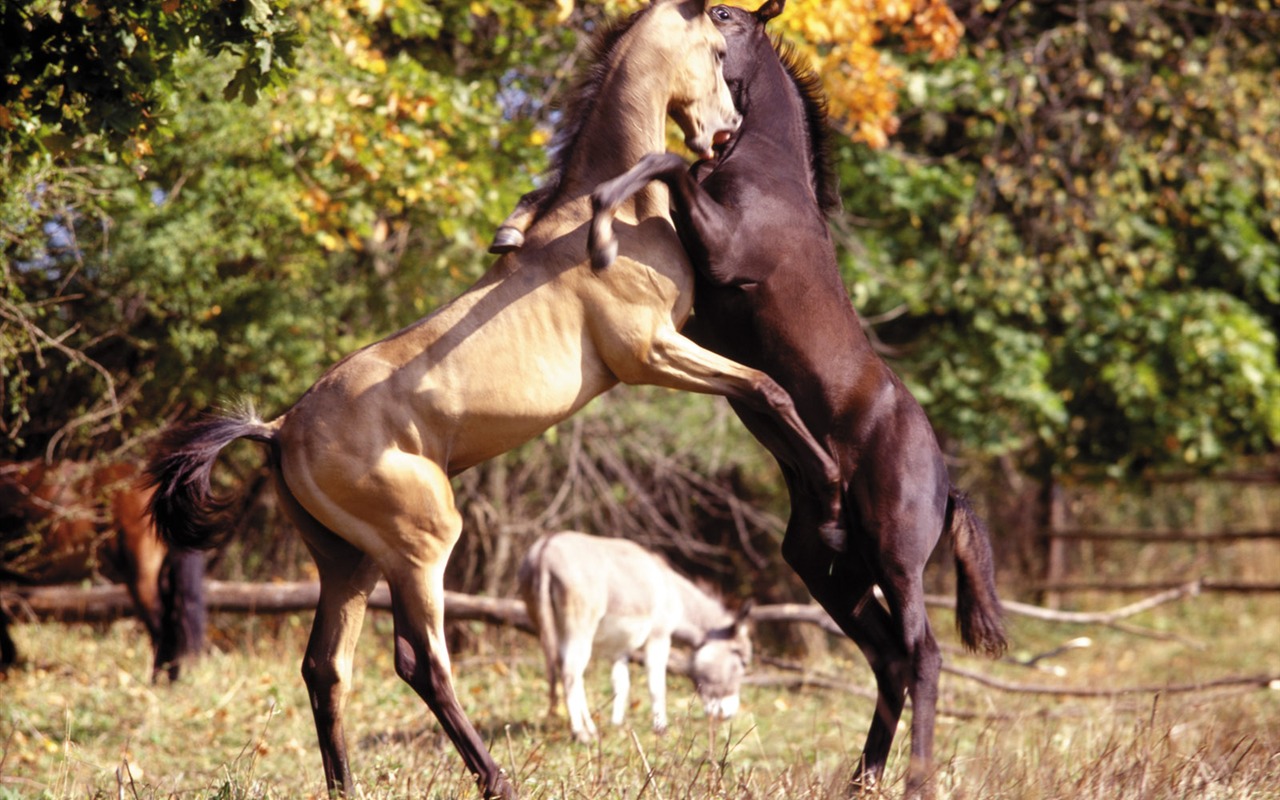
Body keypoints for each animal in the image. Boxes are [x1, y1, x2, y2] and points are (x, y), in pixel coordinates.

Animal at [145, 1, 844, 798]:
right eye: (718, 50)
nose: (723, 132)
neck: (604, 214)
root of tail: (280, 428)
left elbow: (762, 392)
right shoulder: (651, 353)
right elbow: (769, 388)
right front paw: (830, 496)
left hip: (348, 564)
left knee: (327, 668)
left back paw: (349, 785)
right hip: (421, 546)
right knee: (421, 663)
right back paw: (496, 778)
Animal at [581, 3, 1008, 793]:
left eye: (724, 18)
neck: (766, 176)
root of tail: (948, 485)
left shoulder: (721, 251)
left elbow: (666, 165)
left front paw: (598, 219)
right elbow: (668, 171)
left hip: (896, 561)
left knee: (924, 656)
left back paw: (914, 781)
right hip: (830, 571)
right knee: (889, 660)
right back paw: (861, 779)